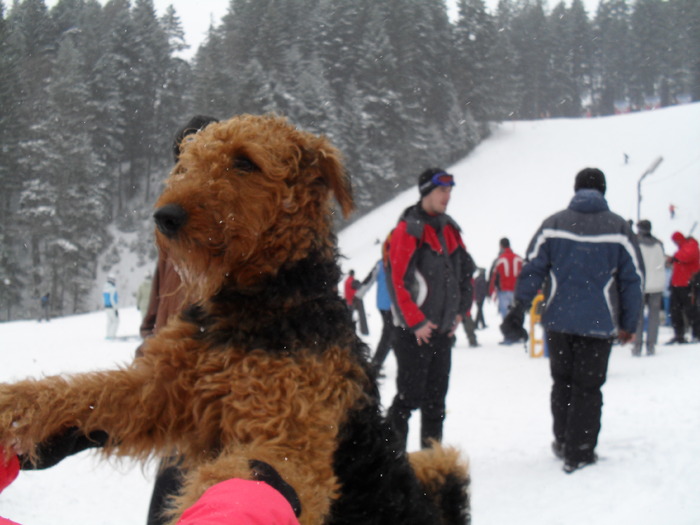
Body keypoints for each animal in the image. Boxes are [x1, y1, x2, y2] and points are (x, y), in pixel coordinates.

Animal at [1, 114, 470, 524]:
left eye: (245, 161)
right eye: (186, 162)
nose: (165, 217)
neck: (258, 303)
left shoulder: (288, 439)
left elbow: (237, 481)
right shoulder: (162, 390)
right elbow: (79, 392)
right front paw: (12, 408)